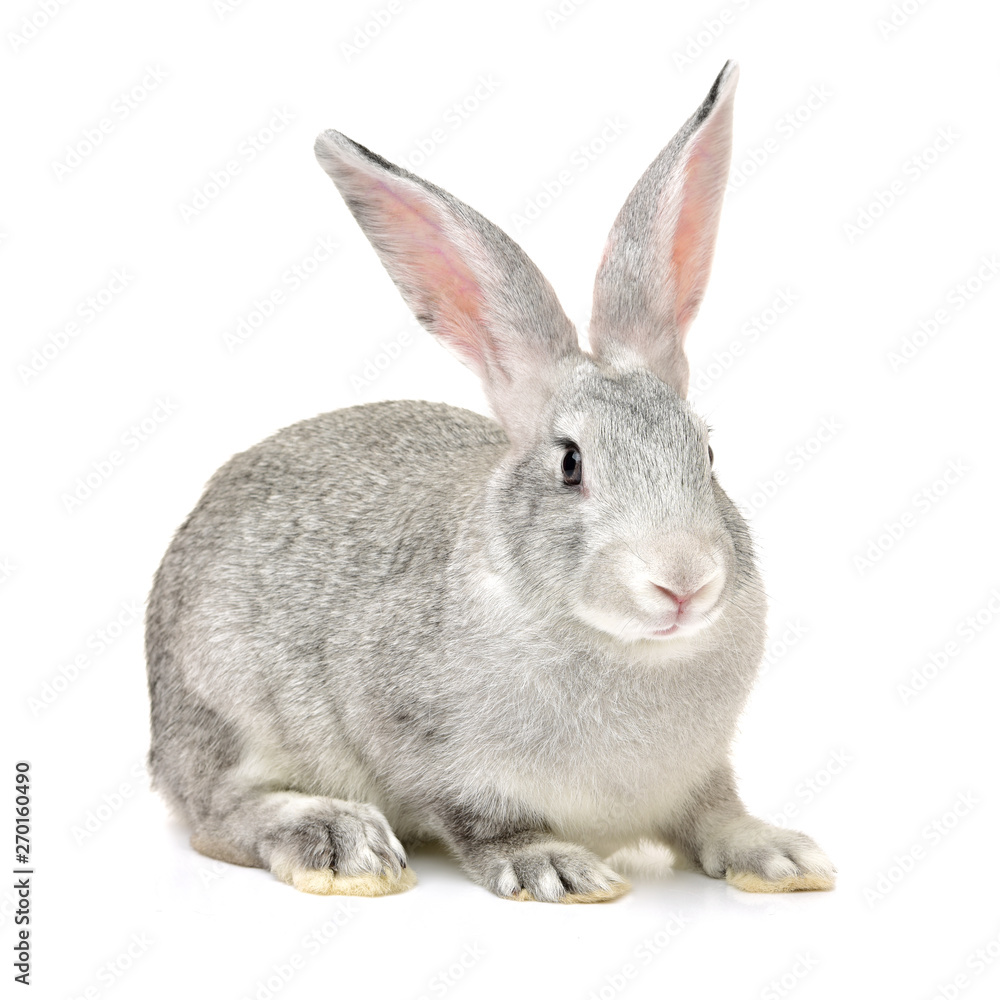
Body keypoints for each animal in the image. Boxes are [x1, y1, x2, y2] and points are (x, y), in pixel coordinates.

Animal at [146, 64, 836, 908]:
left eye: (706, 452)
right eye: (571, 463)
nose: (684, 582)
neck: (626, 648)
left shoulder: (699, 775)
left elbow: (715, 814)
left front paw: (779, 855)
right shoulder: (425, 747)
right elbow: (484, 822)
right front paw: (559, 869)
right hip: (225, 703)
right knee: (217, 812)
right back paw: (339, 843)